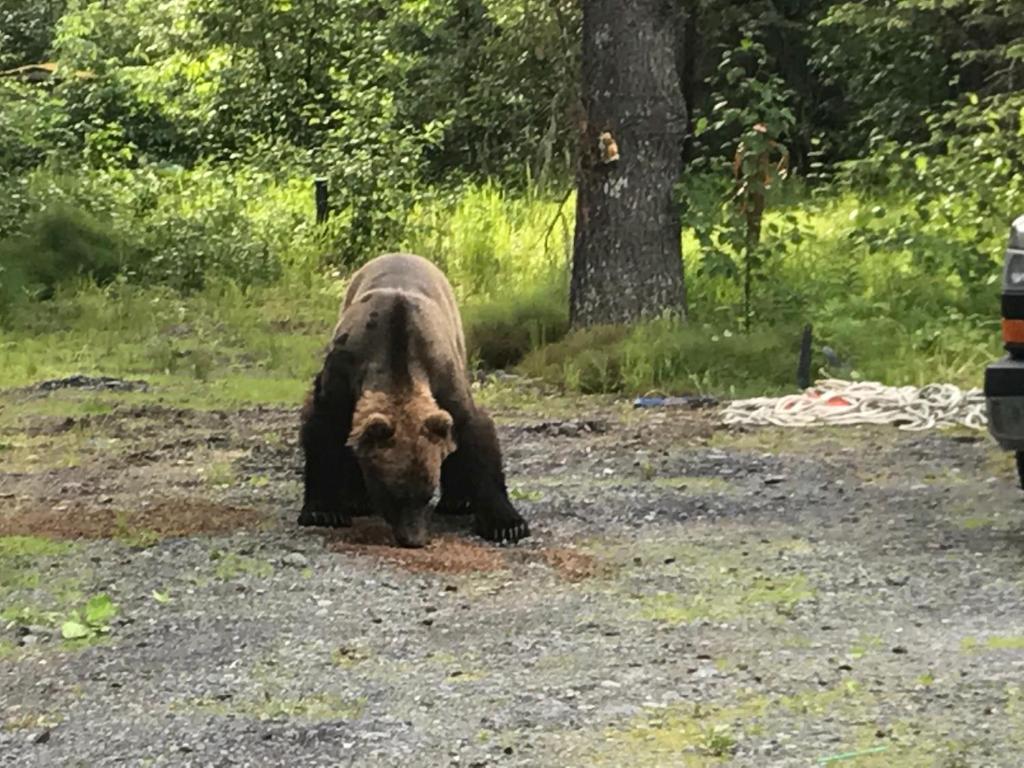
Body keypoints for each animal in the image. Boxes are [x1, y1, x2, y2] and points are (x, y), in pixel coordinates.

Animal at [296, 252, 532, 548]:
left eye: (426, 493)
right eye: (392, 496)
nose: (414, 539)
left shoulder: (443, 376)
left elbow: (475, 433)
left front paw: (507, 524)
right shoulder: (342, 371)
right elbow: (322, 429)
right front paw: (323, 510)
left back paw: (457, 501)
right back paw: (357, 501)